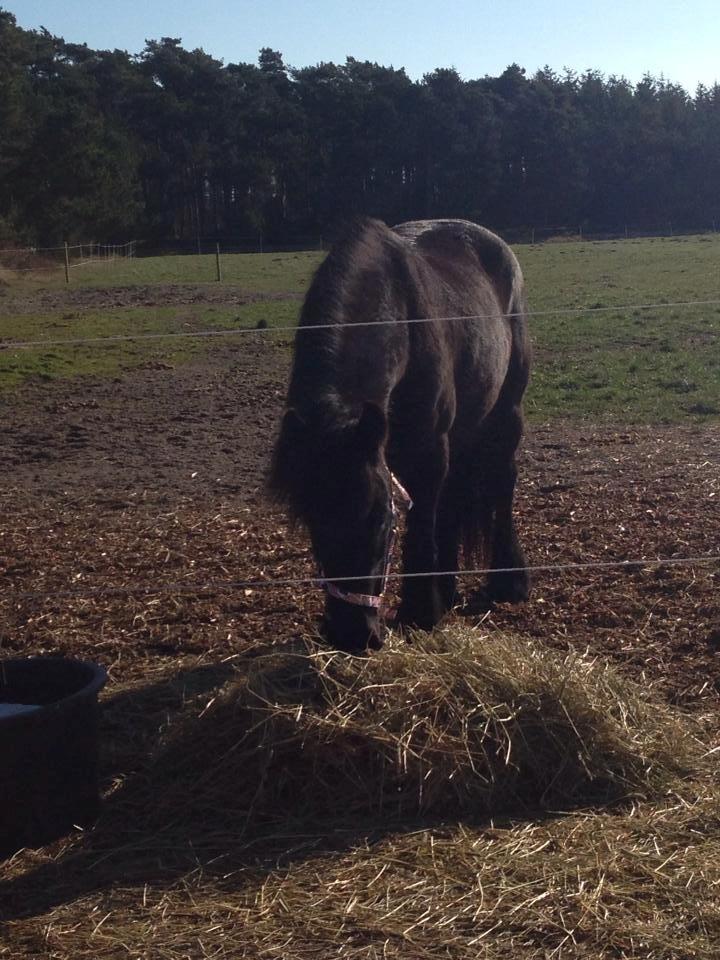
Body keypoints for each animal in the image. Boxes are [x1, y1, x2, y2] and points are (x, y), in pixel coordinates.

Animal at [268, 217, 531, 653]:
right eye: (312, 520)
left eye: (379, 519)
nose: (351, 634)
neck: (406, 325)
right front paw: (436, 598)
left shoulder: (428, 450)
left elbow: (422, 522)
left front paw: (421, 612)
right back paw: (450, 586)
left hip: (506, 413)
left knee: (502, 479)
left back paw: (509, 579)